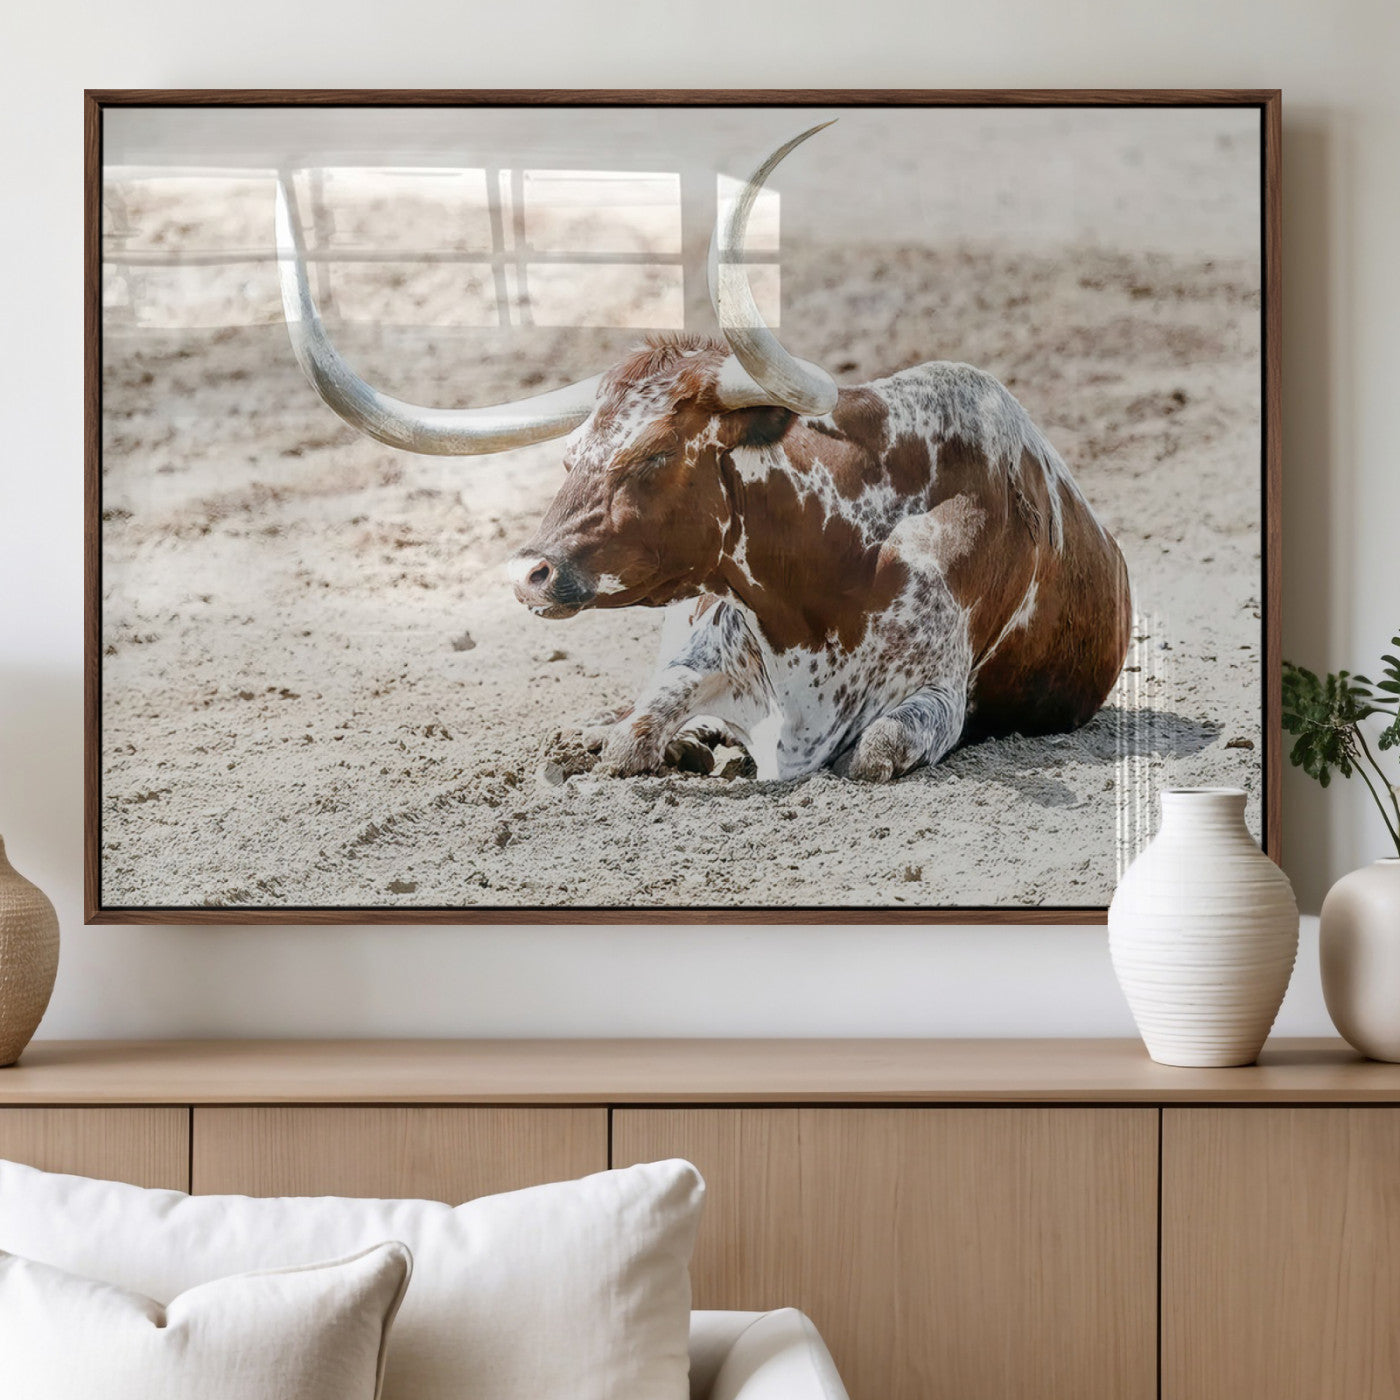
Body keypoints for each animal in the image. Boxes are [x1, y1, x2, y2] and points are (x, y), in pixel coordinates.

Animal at [275, 125, 1131, 783]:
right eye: (570, 457)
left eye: (654, 456)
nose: (530, 574)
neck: (831, 577)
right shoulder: (700, 650)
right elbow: (634, 733)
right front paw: (650, 742)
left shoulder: (933, 700)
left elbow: (873, 750)